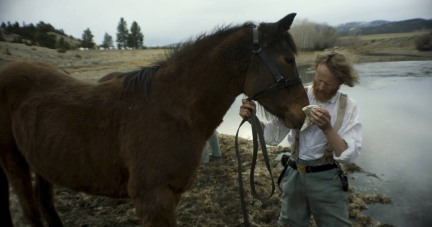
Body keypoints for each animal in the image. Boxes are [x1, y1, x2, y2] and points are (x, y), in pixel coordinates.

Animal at [0, 13, 310, 226]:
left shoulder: (171, 195)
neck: (170, 109)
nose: (302, 113)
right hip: (14, 162)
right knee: (31, 210)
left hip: (42, 163)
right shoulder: (153, 199)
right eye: (288, 59)